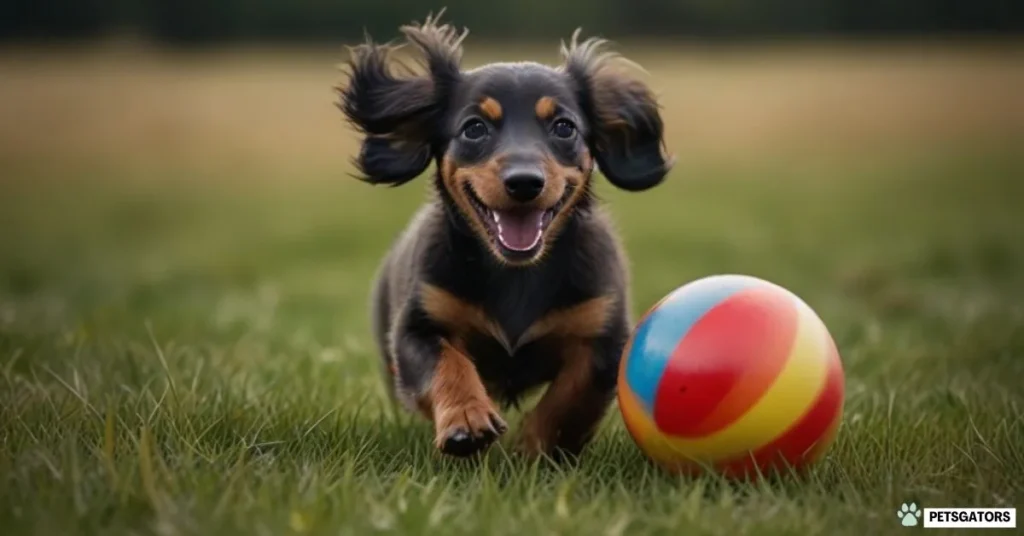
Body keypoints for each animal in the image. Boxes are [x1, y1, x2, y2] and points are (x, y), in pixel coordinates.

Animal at [337, 12, 671, 459]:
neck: (516, 273)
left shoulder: (603, 336)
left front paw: (533, 449)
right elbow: (446, 363)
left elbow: (572, 399)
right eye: (474, 128)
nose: (525, 182)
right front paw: (466, 420)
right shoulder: (417, 327)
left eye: (564, 127)